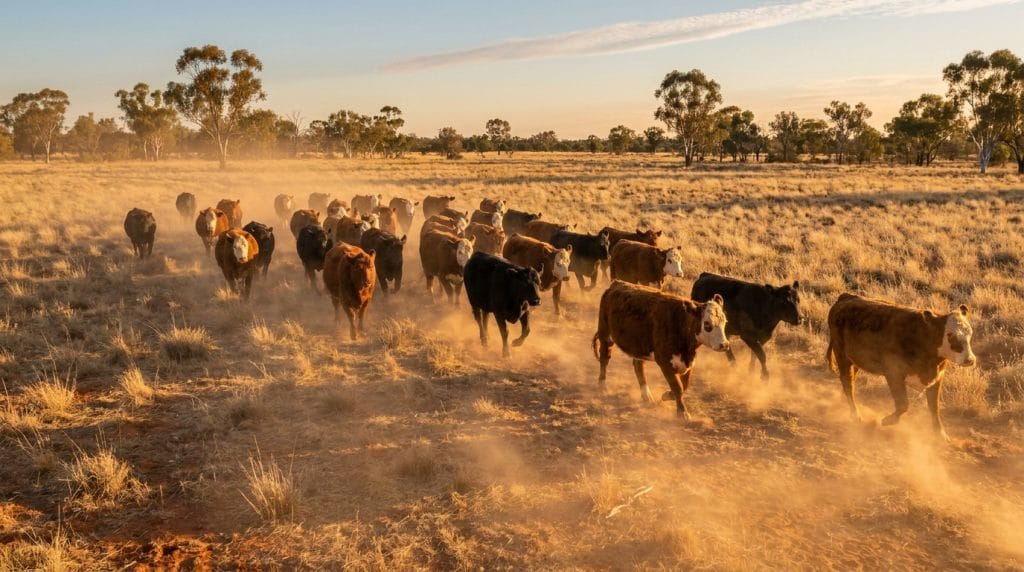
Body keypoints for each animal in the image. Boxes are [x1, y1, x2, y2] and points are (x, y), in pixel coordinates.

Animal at [593, 281, 729, 419]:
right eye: (707, 324)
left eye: (724, 321)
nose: (724, 344)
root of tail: (617, 283)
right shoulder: (665, 363)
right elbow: (677, 387)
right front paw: (683, 413)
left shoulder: (688, 363)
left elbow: (684, 386)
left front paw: (667, 395)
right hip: (605, 335)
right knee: (604, 359)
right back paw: (602, 386)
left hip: (638, 346)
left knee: (638, 366)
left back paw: (646, 396)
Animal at [826, 293, 976, 441]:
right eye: (950, 334)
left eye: (970, 332)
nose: (969, 359)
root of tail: (846, 297)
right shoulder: (894, 373)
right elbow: (903, 404)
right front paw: (888, 420)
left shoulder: (937, 377)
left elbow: (934, 407)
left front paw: (940, 434)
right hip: (842, 355)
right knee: (848, 383)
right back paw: (855, 415)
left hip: (855, 360)